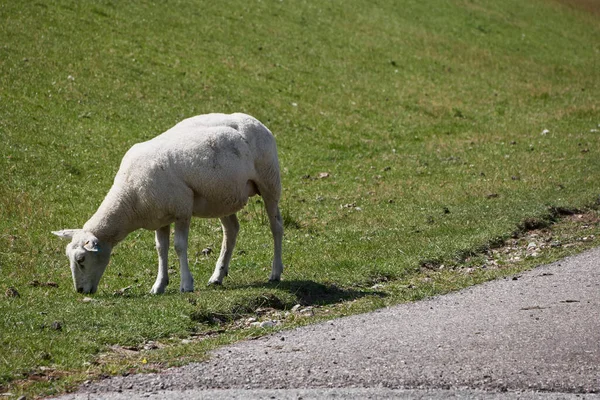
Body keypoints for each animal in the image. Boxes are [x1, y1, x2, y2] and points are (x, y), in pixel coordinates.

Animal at [53, 112, 284, 294]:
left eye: (81, 259)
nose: (80, 291)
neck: (129, 197)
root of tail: (254, 120)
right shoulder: (159, 217)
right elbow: (160, 249)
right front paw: (159, 285)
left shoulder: (182, 210)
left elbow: (179, 246)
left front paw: (186, 284)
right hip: (222, 196)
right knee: (231, 231)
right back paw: (217, 276)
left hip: (269, 181)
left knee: (276, 227)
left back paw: (275, 271)